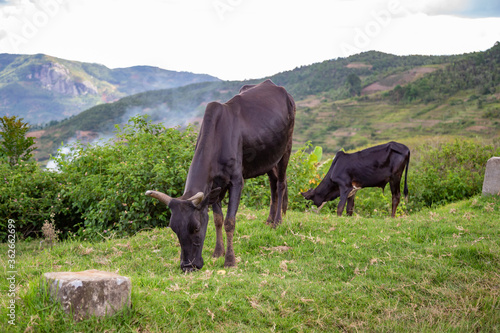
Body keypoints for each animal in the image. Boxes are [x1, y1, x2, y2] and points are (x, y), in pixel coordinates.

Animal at [145, 79, 294, 272]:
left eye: (196, 228)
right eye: (174, 229)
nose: (187, 266)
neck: (218, 139)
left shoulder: (237, 181)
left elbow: (230, 221)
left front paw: (230, 260)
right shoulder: (214, 186)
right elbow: (218, 219)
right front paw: (218, 251)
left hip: (286, 149)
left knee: (281, 183)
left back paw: (277, 222)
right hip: (268, 157)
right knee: (272, 184)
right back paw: (269, 220)